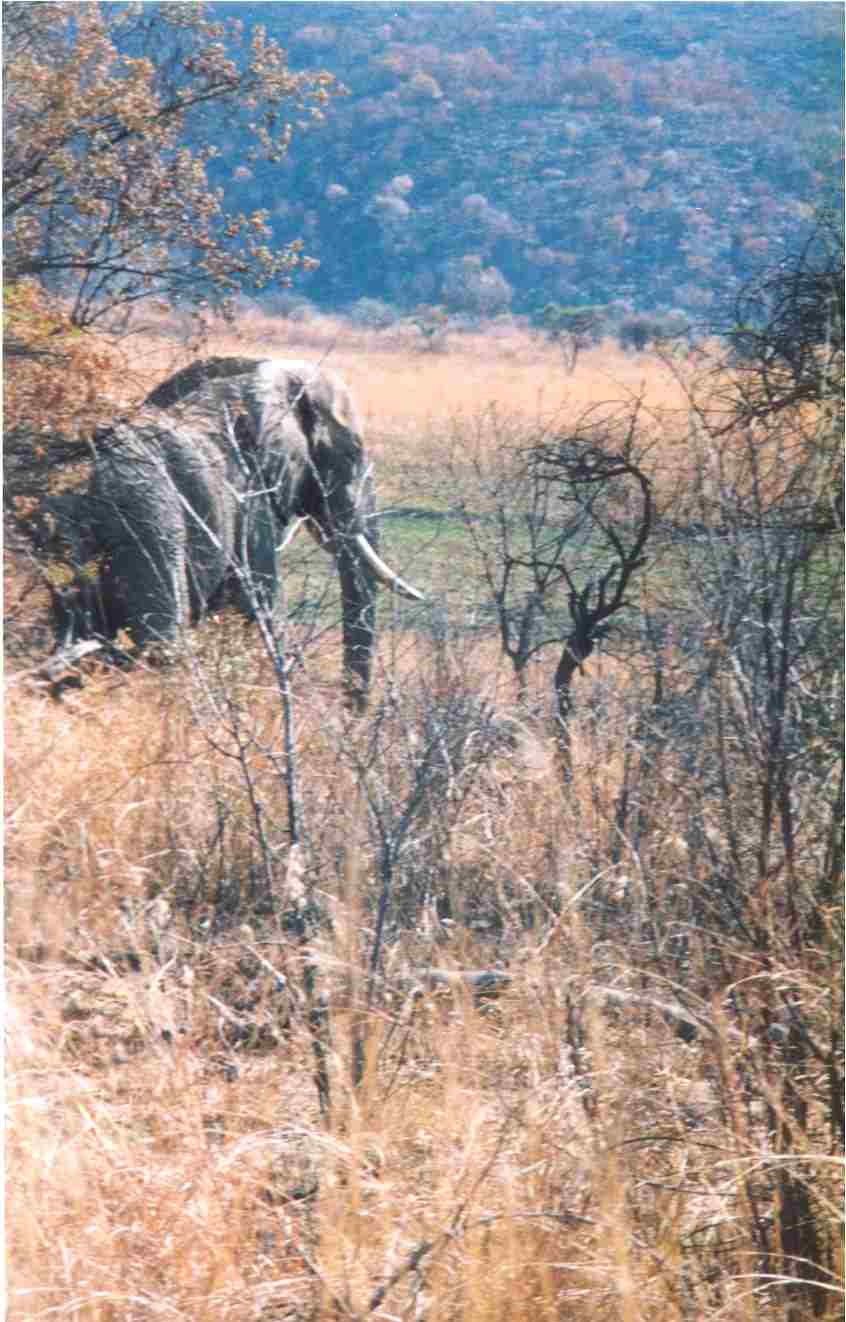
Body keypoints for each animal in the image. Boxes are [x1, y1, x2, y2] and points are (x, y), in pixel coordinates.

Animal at [39, 357, 423, 707]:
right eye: (352, 453)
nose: (353, 713)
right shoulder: (251, 500)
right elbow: (254, 605)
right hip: (147, 512)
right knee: (161, 636)